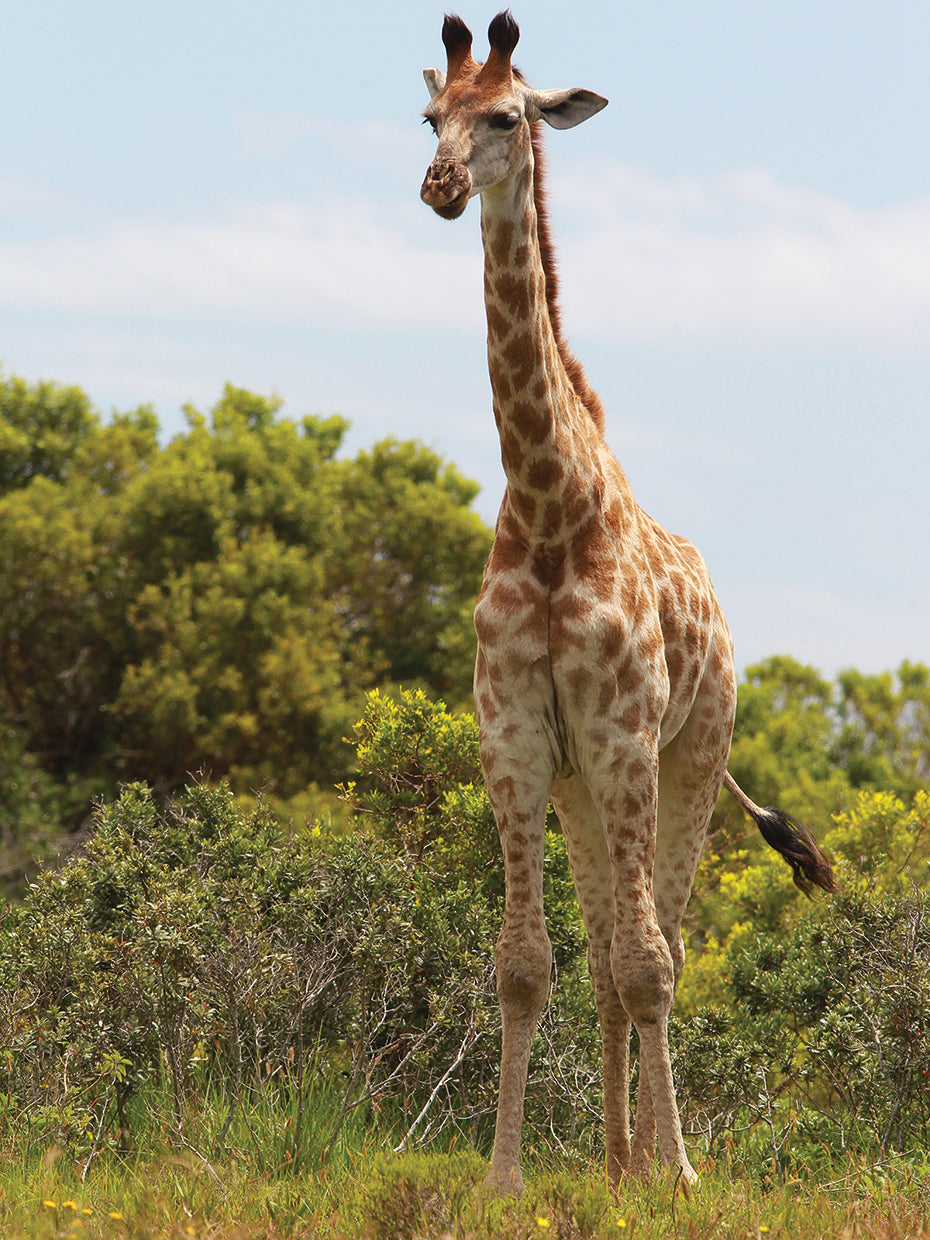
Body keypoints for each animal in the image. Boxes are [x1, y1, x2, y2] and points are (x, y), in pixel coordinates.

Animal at [420, 11, 836, 1195]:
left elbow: (655, 964)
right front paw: (507, 1178)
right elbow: (527, 964)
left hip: (691, 756)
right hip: (581, 789)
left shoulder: (625, 736)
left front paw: (683, 1176)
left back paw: (650, 1162)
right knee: (605, 951)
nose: (440, 185)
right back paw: (614, 1161)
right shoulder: (518, 738)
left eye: (507, 117)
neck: (551, 504)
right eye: (430, 114)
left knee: (665, 946)